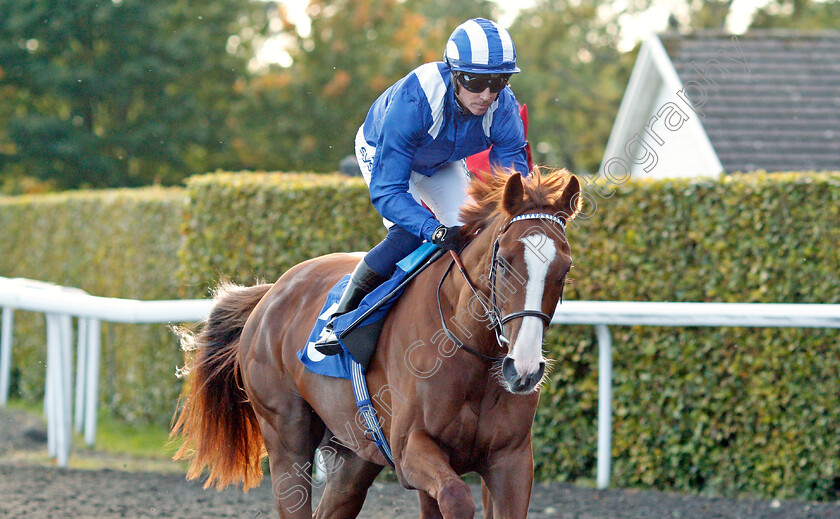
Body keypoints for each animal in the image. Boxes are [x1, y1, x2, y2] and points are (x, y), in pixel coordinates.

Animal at [168, 169, 580, 516]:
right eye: (505, 262)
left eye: (564, 269)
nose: (523, 369)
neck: (468, 350)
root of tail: (270, 293)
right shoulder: (412, 447)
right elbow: (456, 497)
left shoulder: (510, 460)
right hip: (286, 439)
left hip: (354, 455)